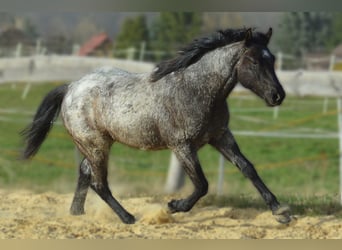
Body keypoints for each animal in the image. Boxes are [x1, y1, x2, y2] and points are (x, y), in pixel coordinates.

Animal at [20, 27, 292, 225]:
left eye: (272, 60)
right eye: (254, 62)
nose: (277, 96)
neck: (197, 89)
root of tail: (71, 87)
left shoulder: (221, 136)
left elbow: (248, 168)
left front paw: (280, 211)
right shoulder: (182, 145)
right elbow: (202, 184)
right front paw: (173, 207)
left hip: (96, 144)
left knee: (85, 173)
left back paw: (77, 214)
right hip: (95, 145)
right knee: (99, 183)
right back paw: (128, 218)